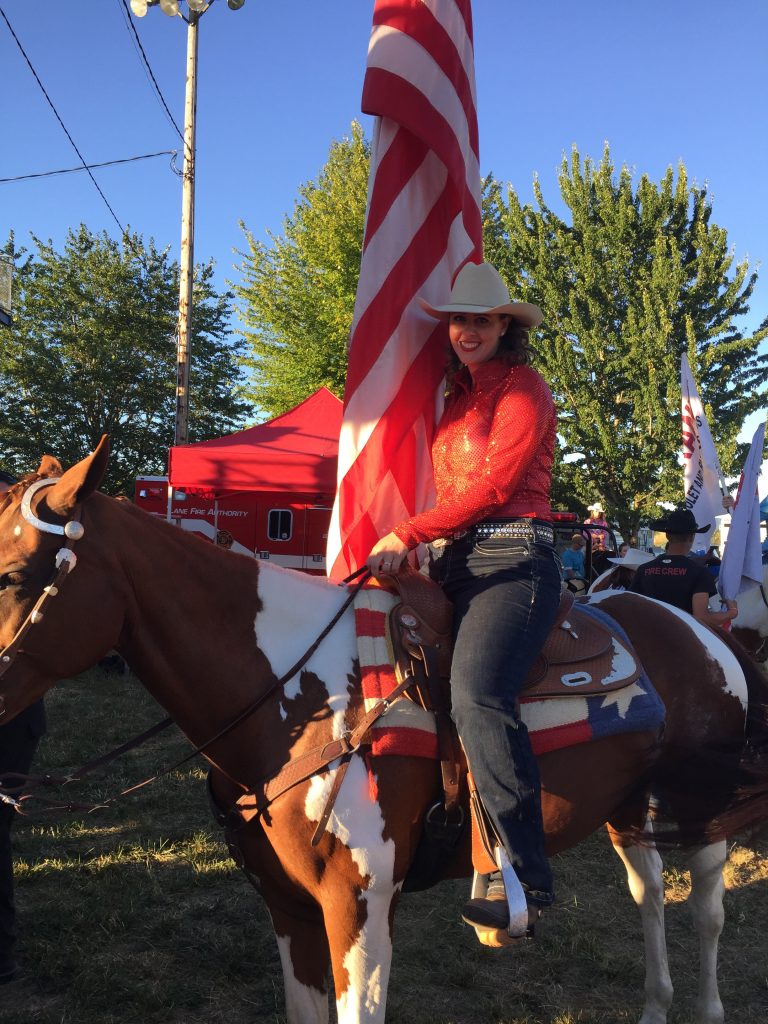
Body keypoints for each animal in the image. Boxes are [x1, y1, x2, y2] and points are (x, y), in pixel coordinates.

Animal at [4, 436, 768, 1019]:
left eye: (13, 574)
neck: (294, 702)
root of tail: (705, 628)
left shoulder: (360, 910)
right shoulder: (289, 911)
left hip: (700, 813)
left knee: (705, 911)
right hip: (630, 811)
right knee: (649, 897)